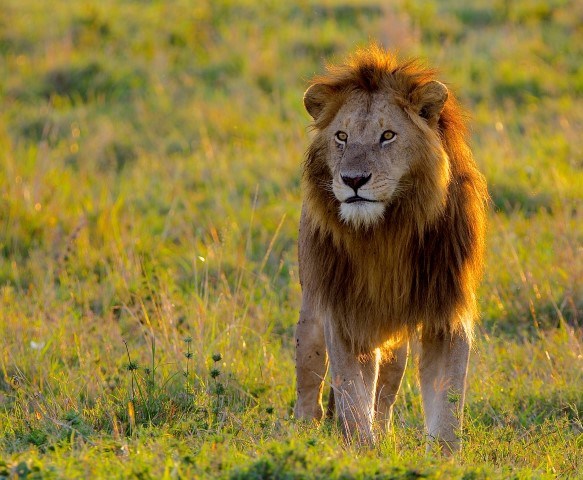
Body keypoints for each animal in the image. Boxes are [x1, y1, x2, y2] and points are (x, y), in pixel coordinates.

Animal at [292, 45, 488, 454]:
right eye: (341, 136)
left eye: (387, 135)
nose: (353, 179)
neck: (386, 231)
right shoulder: (344, 313)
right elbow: (351, 395)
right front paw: (362, 452)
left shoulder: (446, 308)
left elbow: (448, 400)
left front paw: (443, 457)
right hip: (312, 315)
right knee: (309, 383)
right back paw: (301, 431)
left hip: (394, 342)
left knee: (387, 386)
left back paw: (384, 432)